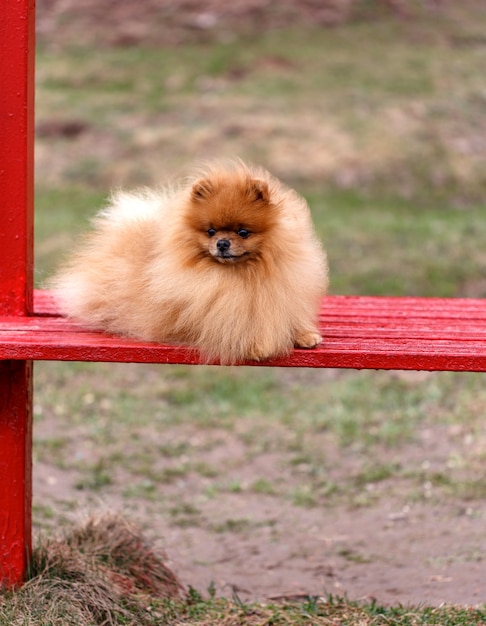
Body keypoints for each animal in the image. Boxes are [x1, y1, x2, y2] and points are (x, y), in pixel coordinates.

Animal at [51, 158, 328, 364]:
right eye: (211, 231)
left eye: (243, 232)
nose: (222, 243)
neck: (242, 275)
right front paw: (254, 344)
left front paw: (305, 334)